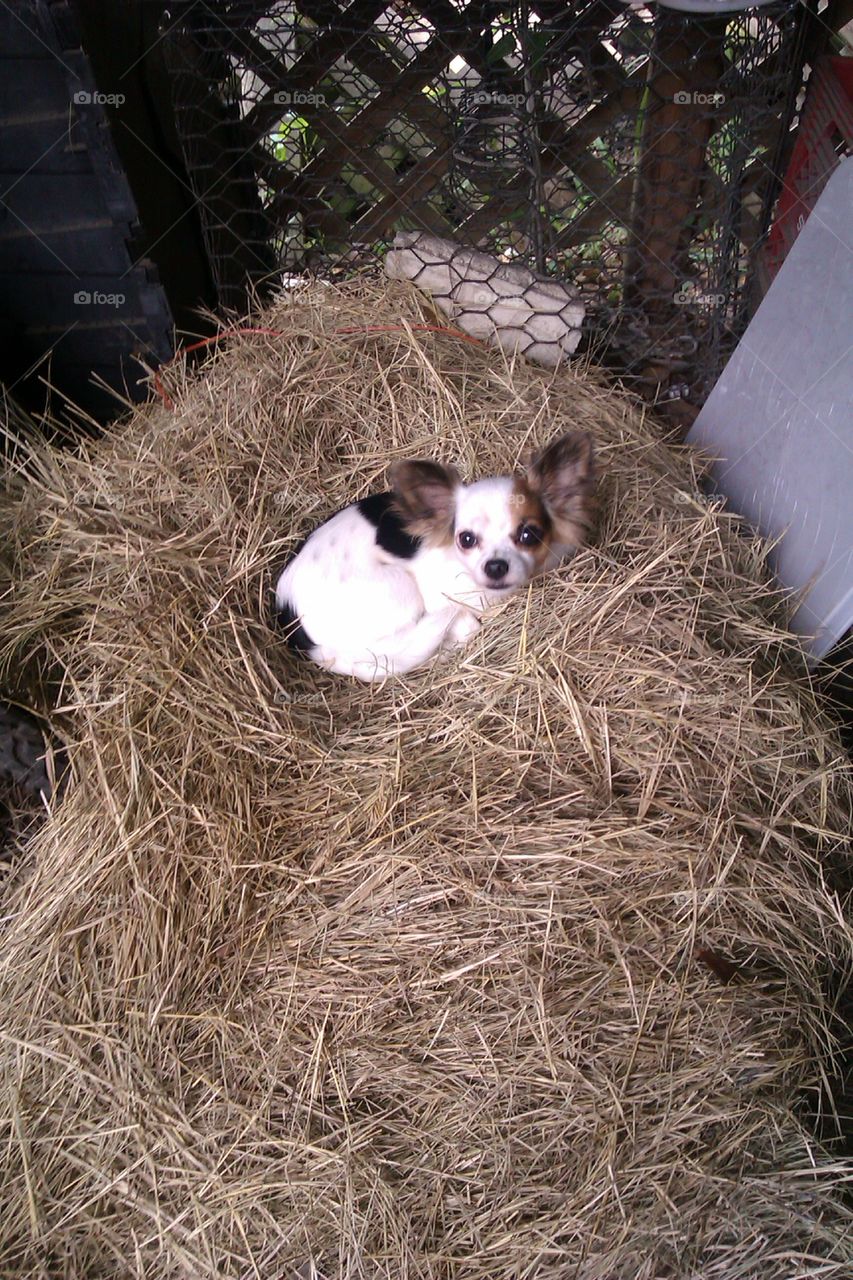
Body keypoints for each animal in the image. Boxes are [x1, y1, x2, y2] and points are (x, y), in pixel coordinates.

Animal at [275, 430, 594, 680]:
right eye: (466, 539)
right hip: (399, 591)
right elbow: (466, 625)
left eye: (529, 535)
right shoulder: (436, 597)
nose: (496, 566)